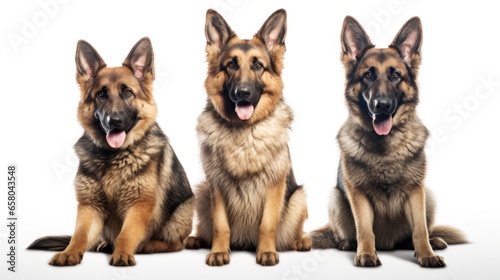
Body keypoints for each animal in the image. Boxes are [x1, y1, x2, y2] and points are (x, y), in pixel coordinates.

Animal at [26, 37, 195, 266]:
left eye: (127, 92)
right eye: (101, 94)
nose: (113, 121)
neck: (114, 157)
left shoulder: (138, 206)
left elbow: (126, 234)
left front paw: (123, 253)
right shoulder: (89, 206)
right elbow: (79, 235)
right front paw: (70, 252)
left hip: (181, 212)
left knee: (176, 243)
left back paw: (149, 246)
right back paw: (105, 245)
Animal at [182, 9, 310, 266]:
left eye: (258, 65)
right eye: (231, 65)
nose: (243, 93)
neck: (244, 131)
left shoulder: (274, 184)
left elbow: (267, 224)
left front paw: (267, 252)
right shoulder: (217, 185)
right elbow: (221, 226)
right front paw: (218, 251)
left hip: (298, 198)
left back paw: (300, 241)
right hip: (202, 191)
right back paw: (197, 239)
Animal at [308, 17, 468, 266]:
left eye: (395, 76)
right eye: (368, 75)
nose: (381, 105)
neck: (385, 146)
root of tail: (389, 245)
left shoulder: (415, 191)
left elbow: (420, 229)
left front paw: (426, 254)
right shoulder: (358, 194)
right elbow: (364, 228)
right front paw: (365, 253)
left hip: (428, 195)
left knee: (417, 233)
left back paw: (432, 242)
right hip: (335, 198)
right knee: (341, 235)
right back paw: (348, 244)